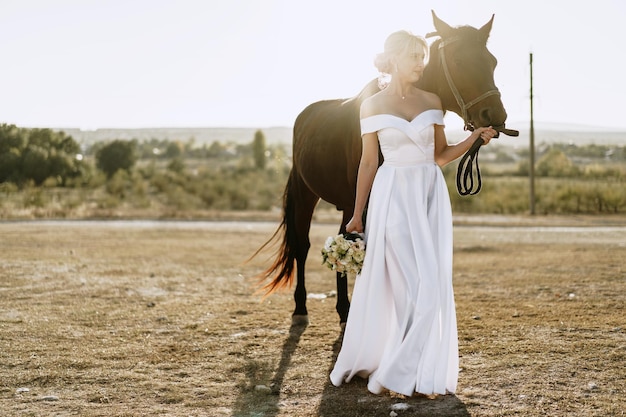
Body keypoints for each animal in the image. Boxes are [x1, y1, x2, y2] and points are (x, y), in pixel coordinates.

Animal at [256, 11, 510, 324]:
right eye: (459, 60)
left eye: (492, 61)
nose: (496, 116)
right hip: (308, 194)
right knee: (302, 246)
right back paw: (302, 307)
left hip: (347, 202)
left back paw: (344, 309)